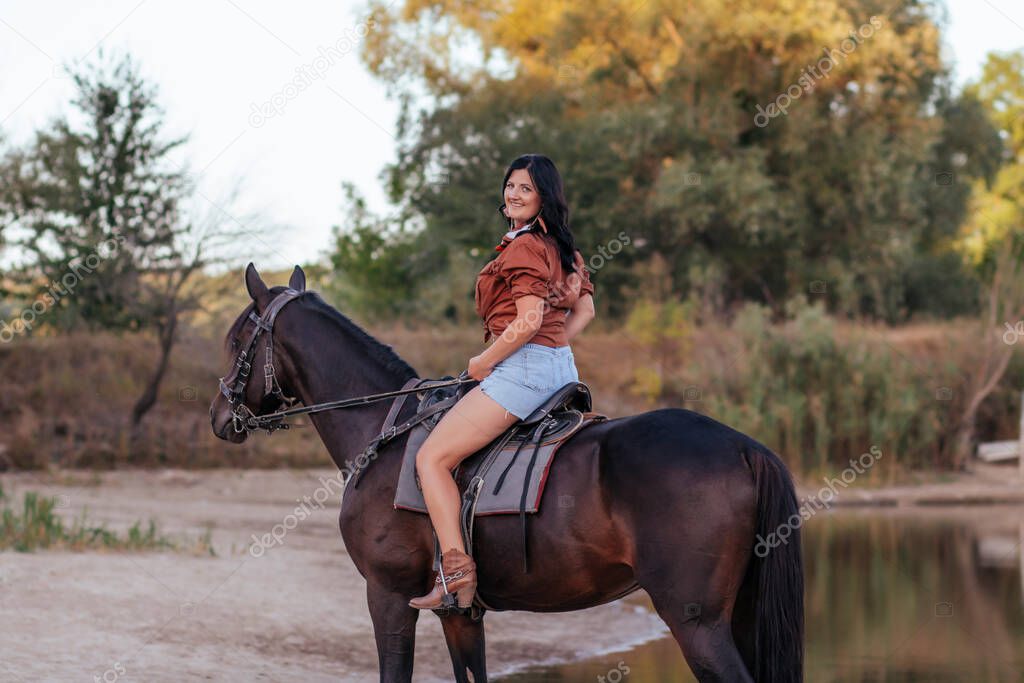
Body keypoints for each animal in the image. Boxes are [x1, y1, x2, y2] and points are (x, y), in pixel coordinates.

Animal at [207, 264, 802, 683]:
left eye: (236, 341)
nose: (218, 417)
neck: (383, 425)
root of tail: (747, 448)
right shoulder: (460, 615)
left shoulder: (388, 596)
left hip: (696, 623)